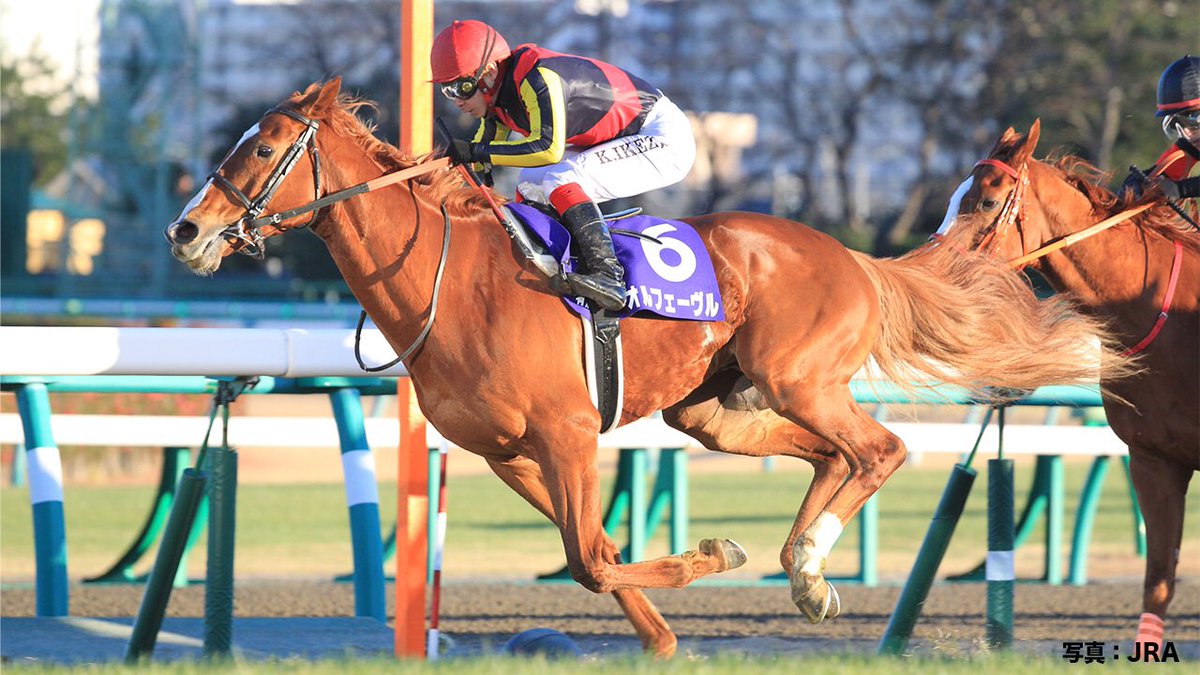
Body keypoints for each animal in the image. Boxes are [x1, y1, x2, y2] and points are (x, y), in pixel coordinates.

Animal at [165, 80, 1131, 656]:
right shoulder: (508, 452)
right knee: (834, 455)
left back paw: (805, 563)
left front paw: (710, 554)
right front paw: (664, 634)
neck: (451, 277)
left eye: (262, 148)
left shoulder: (566, 432)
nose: (186, 229)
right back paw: (809, 570)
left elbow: (593, 558)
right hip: (712, 410)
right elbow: (590, 551)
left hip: (798, 378)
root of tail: (858, 259)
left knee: (880, 448)